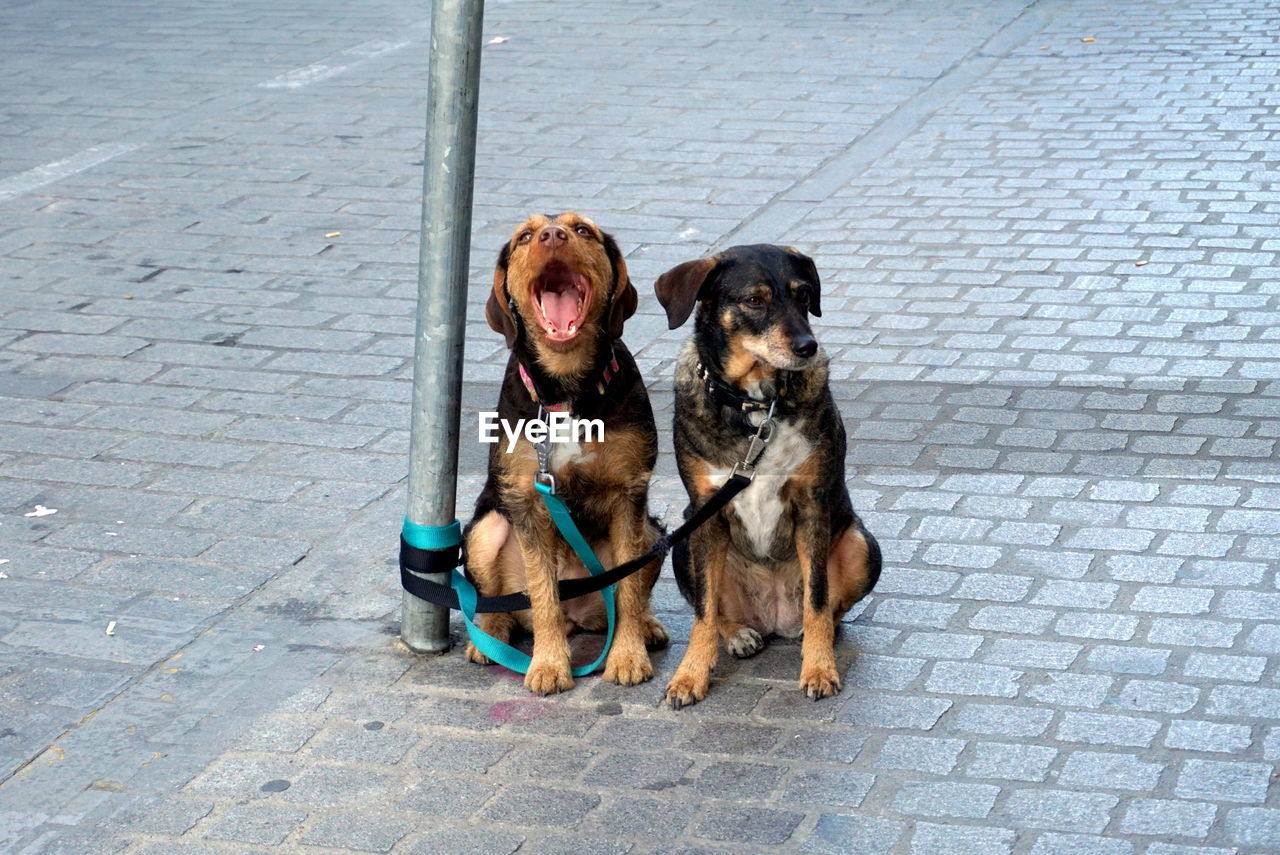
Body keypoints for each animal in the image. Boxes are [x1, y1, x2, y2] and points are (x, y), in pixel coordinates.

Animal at [468, 212, 670, 696]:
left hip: (653, 533)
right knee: (496, 600)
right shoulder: (528, 501)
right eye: (524, 236)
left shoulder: (629, 496)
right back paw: (489, 635)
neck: (566, 392)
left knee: (634, 590)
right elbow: (544, 595)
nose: (553, 235)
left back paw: (647, 625)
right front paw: (548, 664)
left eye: (583, 231)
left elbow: (629, 589)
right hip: (486, 527)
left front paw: (628, 655)